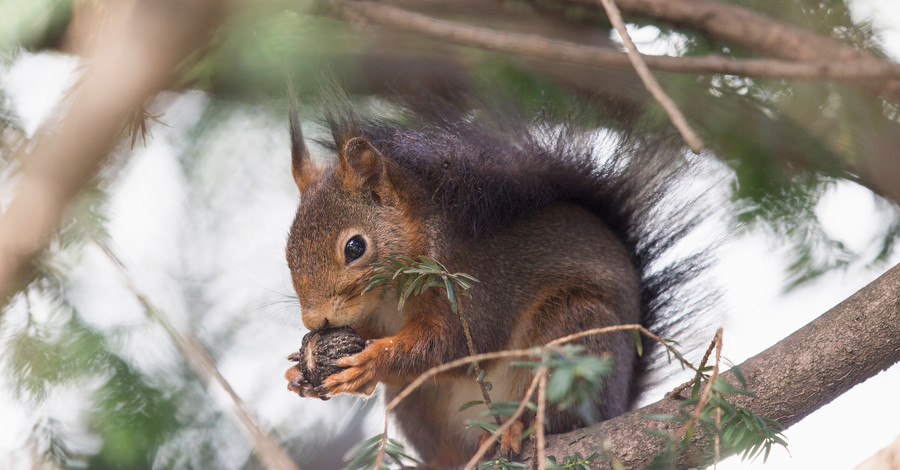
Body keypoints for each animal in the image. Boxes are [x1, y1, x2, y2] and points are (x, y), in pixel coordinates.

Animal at [284, 89, 712, 470]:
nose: (315, 320)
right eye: (287, 251)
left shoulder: (477, 287)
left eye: (355, 247)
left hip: (573, 336)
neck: (391, 298)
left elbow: (455, 345)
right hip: (418, 403)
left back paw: (514, 430)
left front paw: (371, 361)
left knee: (553, 415)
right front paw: (299, 372)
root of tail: (618, 404)